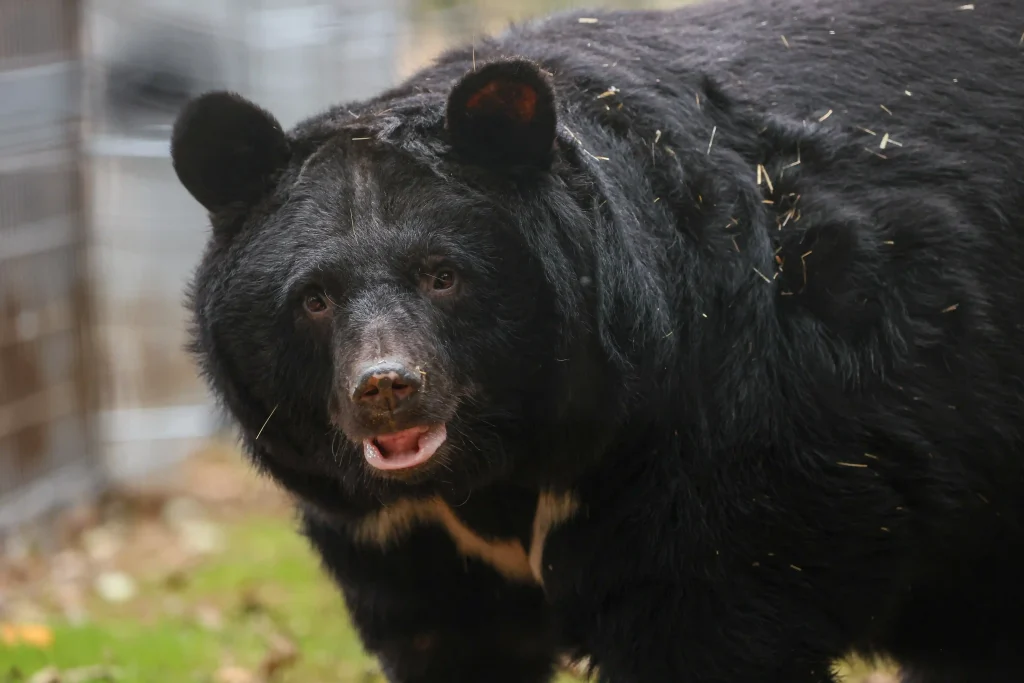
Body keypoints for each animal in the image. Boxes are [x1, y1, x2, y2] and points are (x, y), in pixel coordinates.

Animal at [168, 0, 1024, 680]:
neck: (498, 465)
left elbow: (710, 626)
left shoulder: (730, 435)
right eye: (314, 298)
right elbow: (449, 641)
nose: (386, 388)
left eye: (443, 275)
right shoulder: (405, 547)